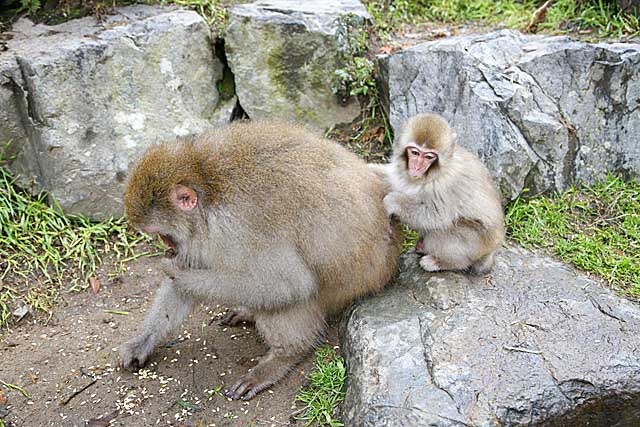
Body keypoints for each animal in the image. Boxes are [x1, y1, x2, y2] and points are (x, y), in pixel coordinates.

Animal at [120, 120, 400, 402]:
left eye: (163, 235)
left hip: (357, 278)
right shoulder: (199, 239)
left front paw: (179, 274)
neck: (207, 186)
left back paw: (284, 356)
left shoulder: (238, 225)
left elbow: (289, 283)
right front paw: (143, 341)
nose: (169, 248)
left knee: (285, 294)